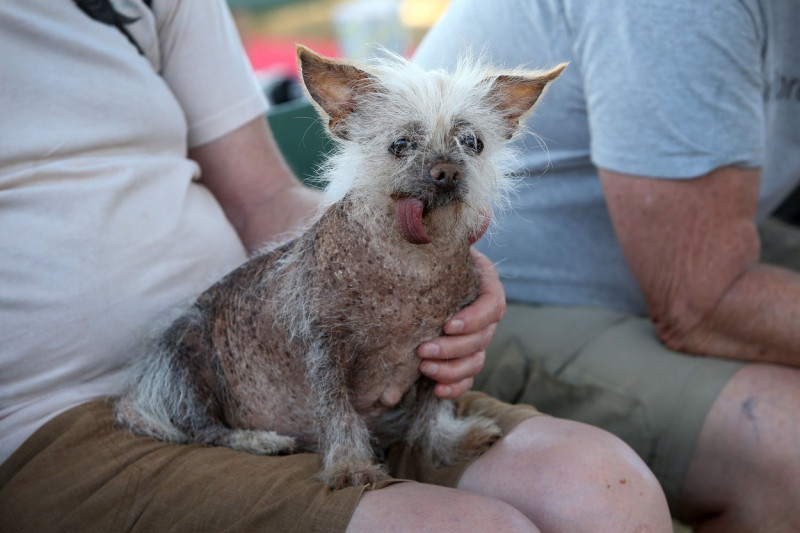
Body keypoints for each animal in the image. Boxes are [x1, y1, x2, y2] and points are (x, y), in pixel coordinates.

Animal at [114, 46, 564, 490]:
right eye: (400, 144)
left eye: (473, 142)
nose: (448, 171)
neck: (411, 265)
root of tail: (139, 393)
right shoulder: (325, 349)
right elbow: (337, 411)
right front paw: (349, 465)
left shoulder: (442, 349)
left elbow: (433, 406)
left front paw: (445, 441)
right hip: (186, 359)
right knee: (201, 429)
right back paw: (257, 439)